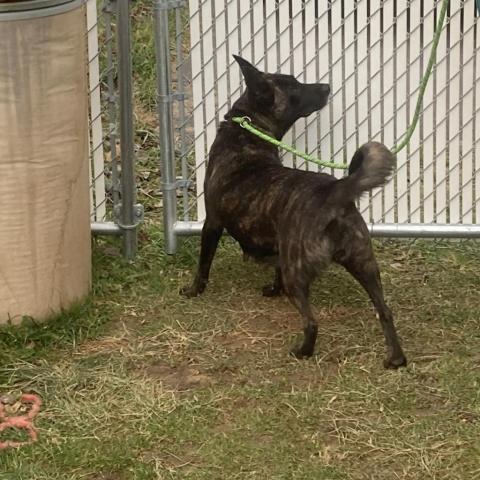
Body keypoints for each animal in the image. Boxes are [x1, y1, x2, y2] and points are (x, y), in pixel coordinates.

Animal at [182, 57, 406, 372]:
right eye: (296, 87)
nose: (326, 86)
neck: (248, 134)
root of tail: (335, 192)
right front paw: (272, 289)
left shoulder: (212, 223)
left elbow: (203, 264)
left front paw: (193, 290)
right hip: (365, 265)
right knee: (385, 310)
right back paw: (396, 358)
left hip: (297, 273)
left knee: (312, 322)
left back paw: (303, 351)